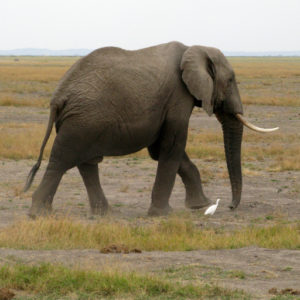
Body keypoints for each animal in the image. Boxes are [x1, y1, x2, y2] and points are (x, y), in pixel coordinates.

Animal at [24, 41, 278, 217]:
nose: (231, 206)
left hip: (83, 121)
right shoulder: (178, 97)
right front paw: (163, 214)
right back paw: (39, 214)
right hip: (82, 121)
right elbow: (172, 147)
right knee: (62, 160)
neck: (194, 48)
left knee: (86, 163)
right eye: (232, 80)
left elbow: (162, 150)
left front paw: (201, 206)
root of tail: (58, 97)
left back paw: (103, 214)